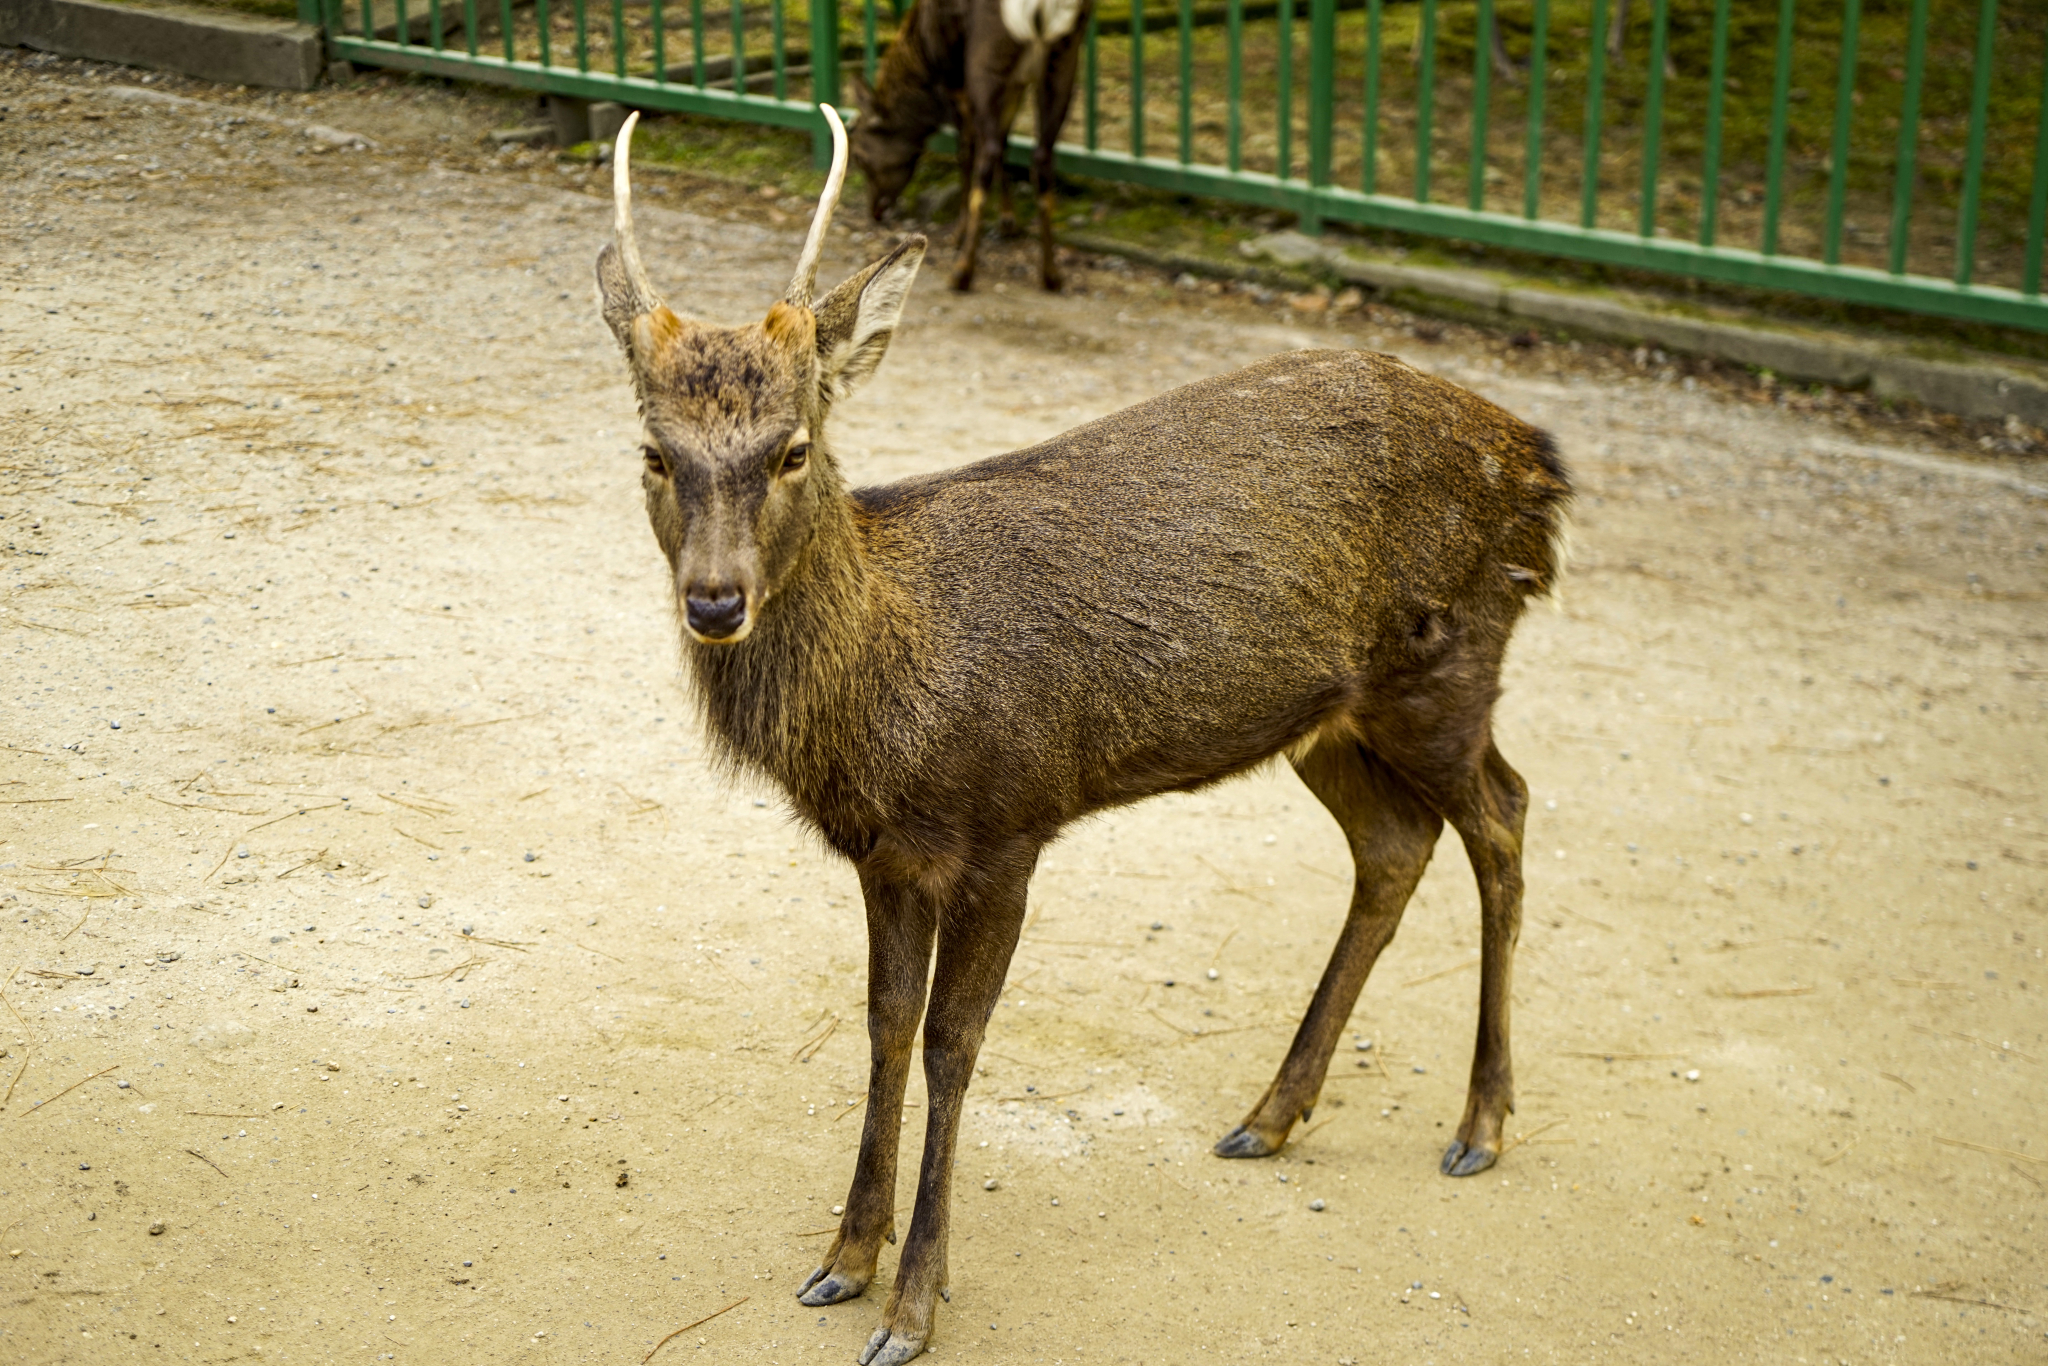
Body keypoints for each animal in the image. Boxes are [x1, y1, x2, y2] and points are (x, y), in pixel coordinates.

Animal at [598, 109, 1572, 1366]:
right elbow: (881, 1025)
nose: (715, 601)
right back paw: (1268, 1114)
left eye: (792, 447)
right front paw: (842, 1258)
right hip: (1327, 718)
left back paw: (1479, 1123)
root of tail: (1540, 460)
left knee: (1501, 813)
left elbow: (951, 1043)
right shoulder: (887, 855)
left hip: (1449, 664)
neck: (892, 705)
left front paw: (912, 1304)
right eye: (652, 452)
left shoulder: (1008, 820)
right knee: (1396, 842)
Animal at [843, 0, 1089, 290]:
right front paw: (1009, 221)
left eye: (859, 156)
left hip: (986, 63)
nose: (875, 211)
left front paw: (961, 232)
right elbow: (1004, 142)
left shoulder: (957, 86)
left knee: (989, 152)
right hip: (1063, 61)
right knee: (1041, 156)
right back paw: (1051, 274)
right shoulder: (1016, 84)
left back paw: (963, 270)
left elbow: (968, 152)